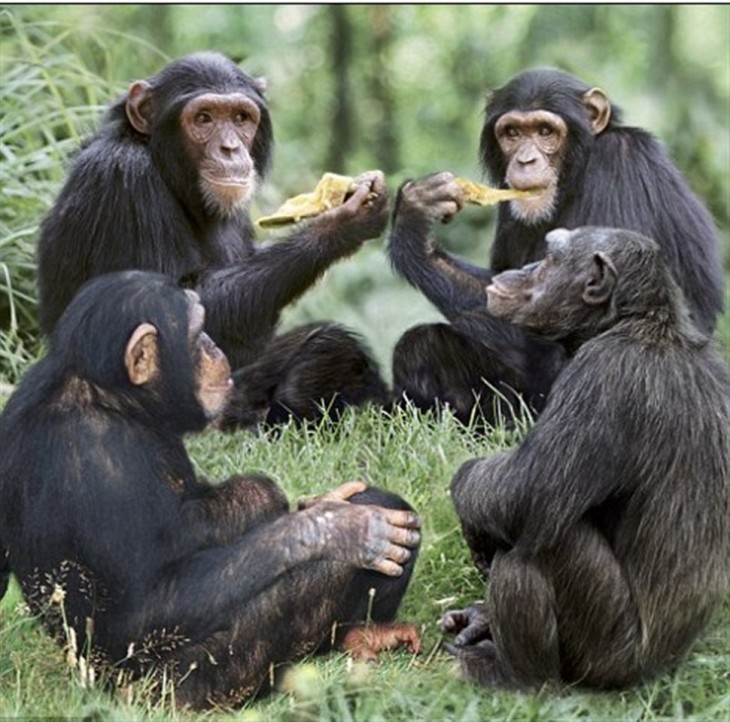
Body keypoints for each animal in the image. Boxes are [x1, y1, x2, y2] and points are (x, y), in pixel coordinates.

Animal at [0, 268, 420, 704]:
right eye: (196, 333)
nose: (215, 348)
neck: (113, 397)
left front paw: (319, 505)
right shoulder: (98, 452)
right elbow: (149, 607)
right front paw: (339, 528)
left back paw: (365, 634)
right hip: (187, 683)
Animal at [390, 65, 720, 424]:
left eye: (545, 131)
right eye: (512, 133)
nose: (525, 160)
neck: (578, 171)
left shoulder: (621, 163)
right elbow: (500, 284)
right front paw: (415, 216)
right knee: (419, 347)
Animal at [438, 228, 728, 688]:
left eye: (550, 258)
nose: (524, 268)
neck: (636, 324)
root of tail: (660, 669)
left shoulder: (602, 378)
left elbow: (527, 489)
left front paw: (468, 498)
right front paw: (479, 617)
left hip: (605, 650)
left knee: (536, 544)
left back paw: (514, 675)